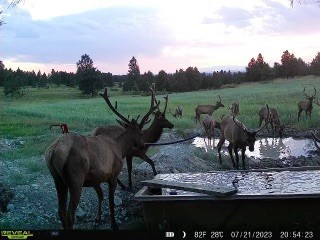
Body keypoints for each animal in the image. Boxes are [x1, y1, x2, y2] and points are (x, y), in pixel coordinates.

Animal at [45, 87, 158, 230]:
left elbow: (100, 195)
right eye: (141, 133)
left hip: (58, 179)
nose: (144, 145)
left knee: (61, 212)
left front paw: (97, 218)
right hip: (76, 177)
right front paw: (114, 224)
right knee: (70, 214)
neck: (120, 149)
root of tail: (54, 151)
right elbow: (110, 201)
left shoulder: (95, 179)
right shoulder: (113, 174)